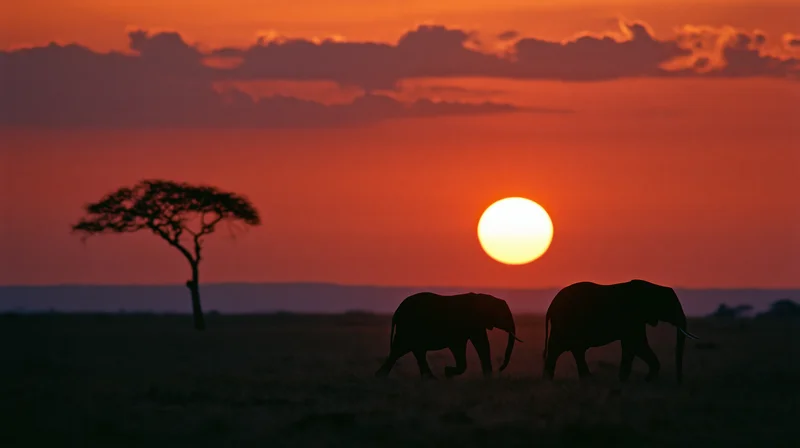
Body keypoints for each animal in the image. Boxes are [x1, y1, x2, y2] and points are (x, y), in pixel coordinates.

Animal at [374, 292, 523, 379]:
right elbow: (470, 345)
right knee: (400, 350)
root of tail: (397, 311)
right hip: (408, 327)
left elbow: (480, 344)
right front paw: (447, 372)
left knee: (411, 351)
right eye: (503, 316)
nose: (500, 368)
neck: (486, 298)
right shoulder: (469, 323)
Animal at [542, 279, 699, 384]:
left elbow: (632, 346)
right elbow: (637, 344)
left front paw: (627, 379)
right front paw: (645, 380)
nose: (679, 381)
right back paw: (551, 381)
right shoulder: (633, 316)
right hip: (565, 323)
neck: (654, 287)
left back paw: (586, 379)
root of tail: (551, 306)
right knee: (558, 348)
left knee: (575, 350)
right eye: (670, 306)